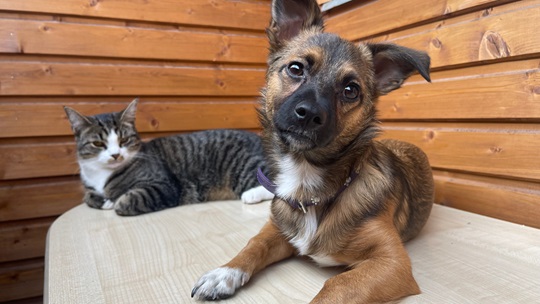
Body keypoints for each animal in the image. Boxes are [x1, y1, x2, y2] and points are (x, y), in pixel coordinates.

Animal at [63, 98, 274, 215]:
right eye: (98, 144)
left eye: (124, 140)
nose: (115, 155)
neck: (102, 175)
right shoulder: (90, 187)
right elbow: (88, 196)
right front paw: (103, 200)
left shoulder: (163, 186)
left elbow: (127, 200)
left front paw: (115, 201)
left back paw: (252, 194)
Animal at [192, 0, 432, 302]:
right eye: (296, 68)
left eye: (351, 90)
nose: (308, 115)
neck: (306, 182)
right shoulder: (278, 227)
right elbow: (255, 242)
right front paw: (225, 272)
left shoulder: (392, 262)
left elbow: (337, 285)